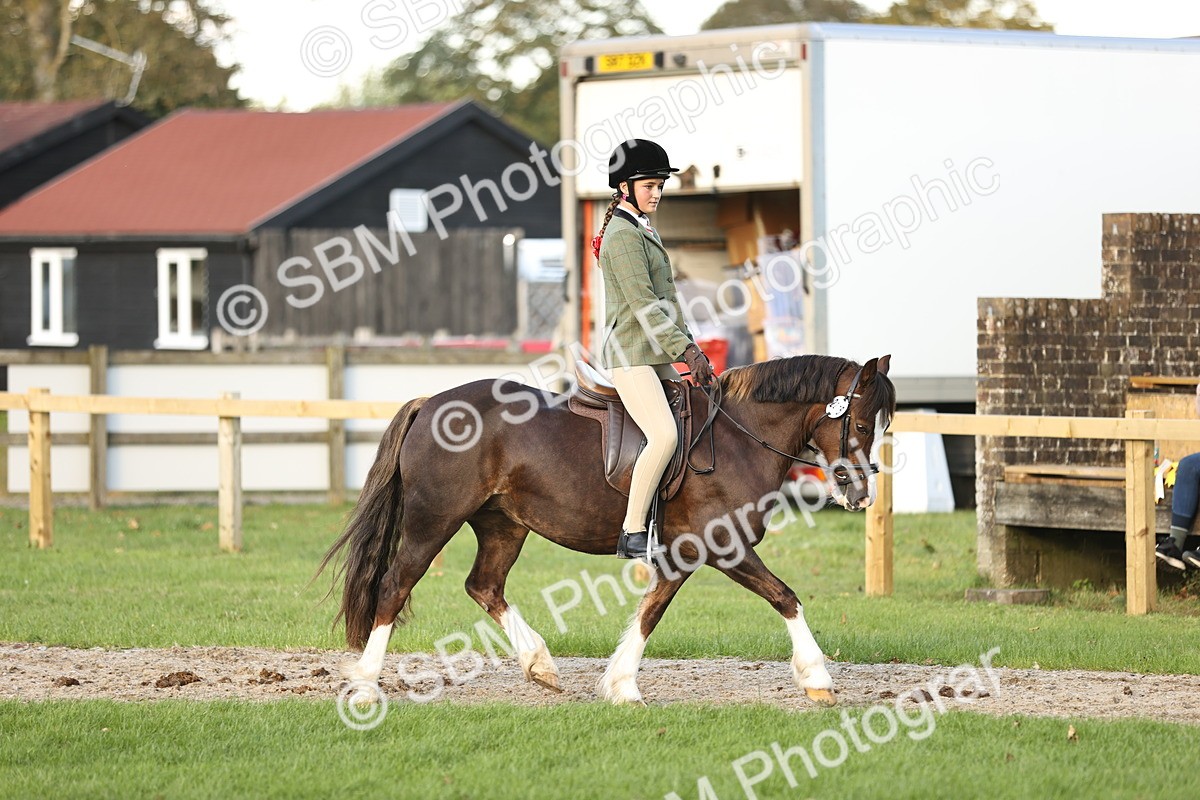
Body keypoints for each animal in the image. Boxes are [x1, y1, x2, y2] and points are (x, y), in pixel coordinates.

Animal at [318, 354, 895, 705]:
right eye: (864, 424)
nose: (862, 494)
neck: (739, 437)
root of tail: (431, 403)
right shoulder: (723, 545)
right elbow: (785, 596)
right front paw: (818, 677)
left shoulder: (685, 554)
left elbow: (651, 611)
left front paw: (620, 684)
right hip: (432, 520)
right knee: (395, 587)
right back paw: (366, 687)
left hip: (503, 525)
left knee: (483, 586)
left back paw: (539, 664)